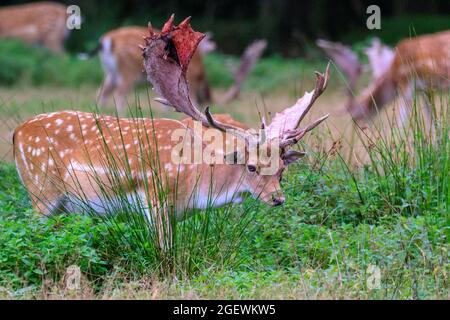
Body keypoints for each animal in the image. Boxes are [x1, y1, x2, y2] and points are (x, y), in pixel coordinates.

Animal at [14, 16, 328, 248]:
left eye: (281, 170)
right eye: (251, 167)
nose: (278, 199)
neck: (195, 180)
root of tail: (17, 131)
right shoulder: (155, 198)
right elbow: (164, 249)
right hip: (41, 192)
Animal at [316, 31, 450, 126]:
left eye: (359, 115)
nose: (361, 127)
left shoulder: (406, 84)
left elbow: (401, 123)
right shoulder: (424, 90)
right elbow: (431, 121)